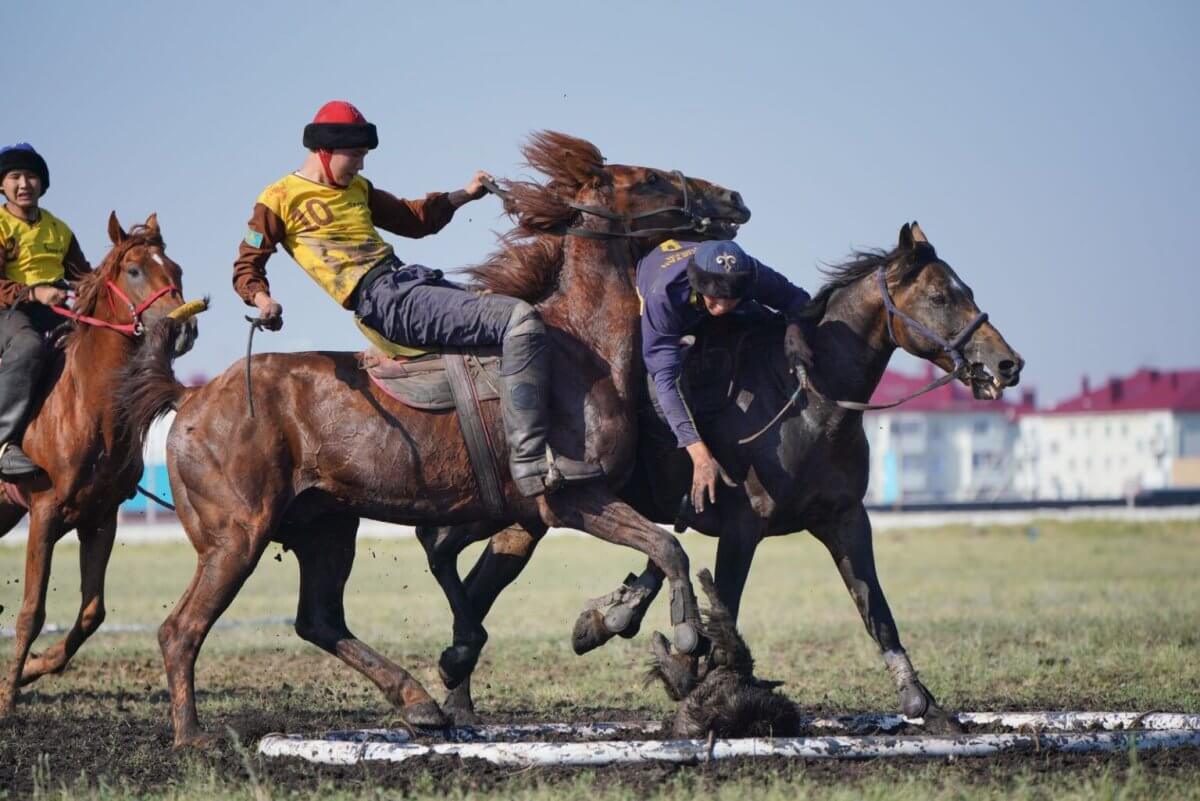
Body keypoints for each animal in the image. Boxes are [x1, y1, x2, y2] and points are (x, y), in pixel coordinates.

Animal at [114, 128, 748, 748]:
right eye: (650, 179)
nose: (732, 198)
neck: (579, 349)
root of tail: (192, 398)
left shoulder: (516, 518)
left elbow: (645, 552)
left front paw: (605, 622)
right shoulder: (572, 499)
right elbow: (666, 547)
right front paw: (681, 634)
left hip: (326, 529)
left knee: (319, 619)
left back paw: (418, 703)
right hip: (235, 538)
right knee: (181, 629)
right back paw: (192, 736)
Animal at [412, 220, 1022, 724]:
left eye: (966, 290)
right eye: (941, 295)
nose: (1007, 364)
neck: (804, 400)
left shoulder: (846, 519)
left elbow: (875, 607)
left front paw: (921, 701)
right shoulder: (743, 528)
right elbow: (723, 607)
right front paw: (695, 678)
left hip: (525, 517)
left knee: (473, 578)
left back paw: (460, 694)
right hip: (520, 509)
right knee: (449, 554)